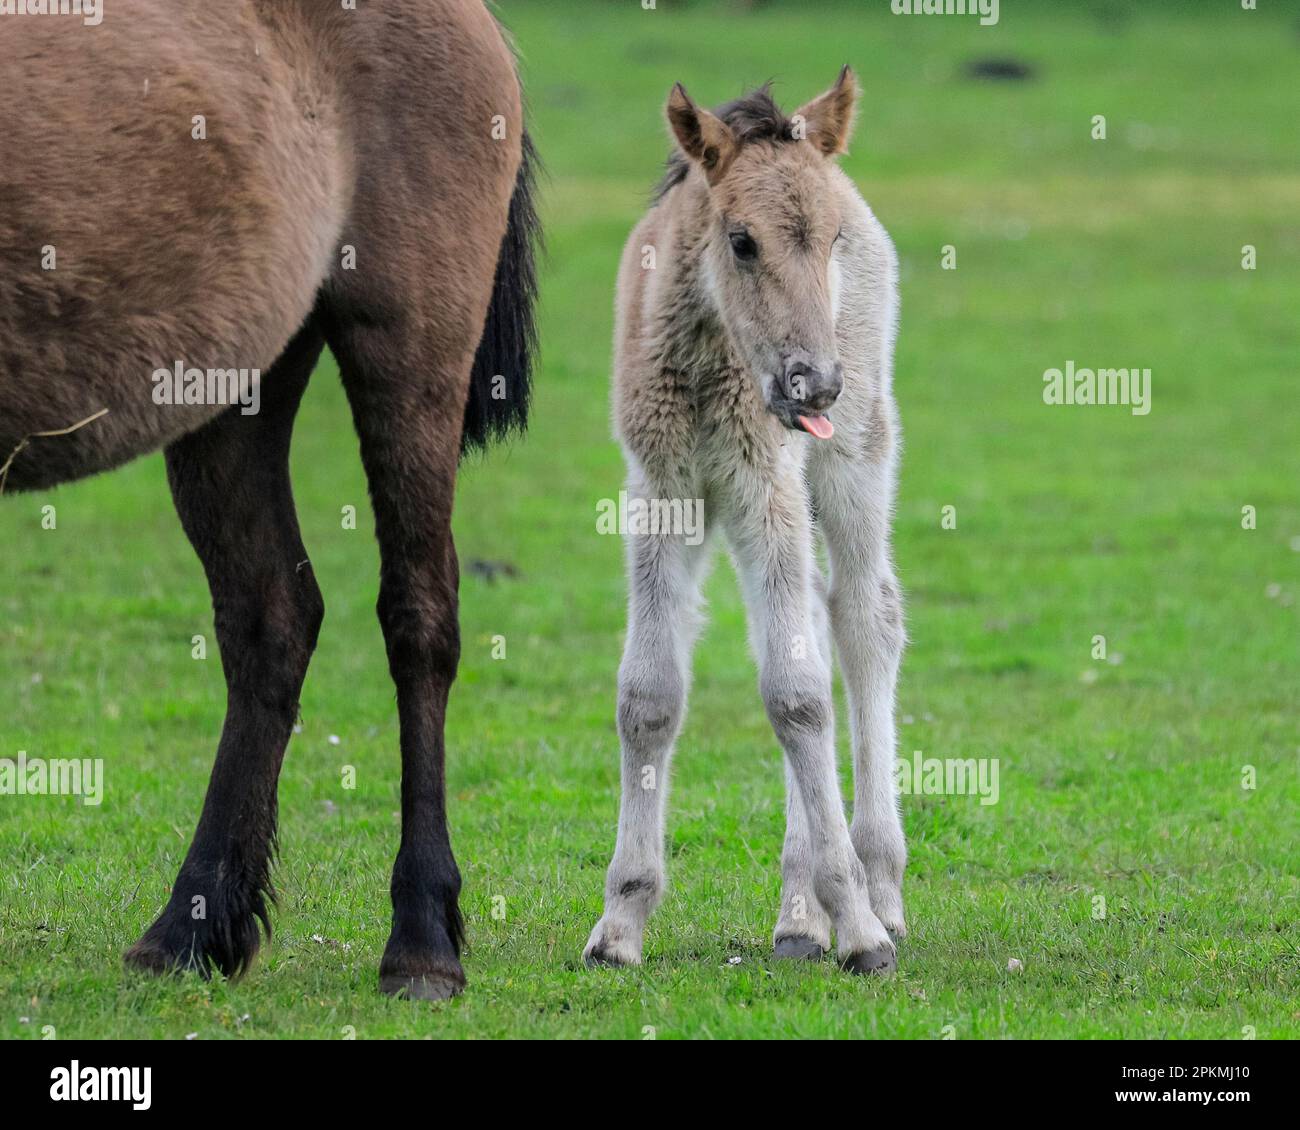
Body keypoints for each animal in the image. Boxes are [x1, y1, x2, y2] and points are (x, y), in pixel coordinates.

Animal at [0, 0, 538, 998]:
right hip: (232, 385)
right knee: (272, 623)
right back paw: (194, 922)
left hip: (409, 347)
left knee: (420, 621)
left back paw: (421, 937)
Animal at [587, 68, 904, 967]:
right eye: (741, 241)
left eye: (831, 240)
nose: (814, 383)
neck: (706, 367)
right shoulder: (662, 490)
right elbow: (649, 695)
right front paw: (620, 922)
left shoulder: (767, 486)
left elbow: (798, 698)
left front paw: (860, 927)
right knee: (814, 630)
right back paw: (800, 917)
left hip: (853, 456)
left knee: (864, 621)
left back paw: (877, 889)